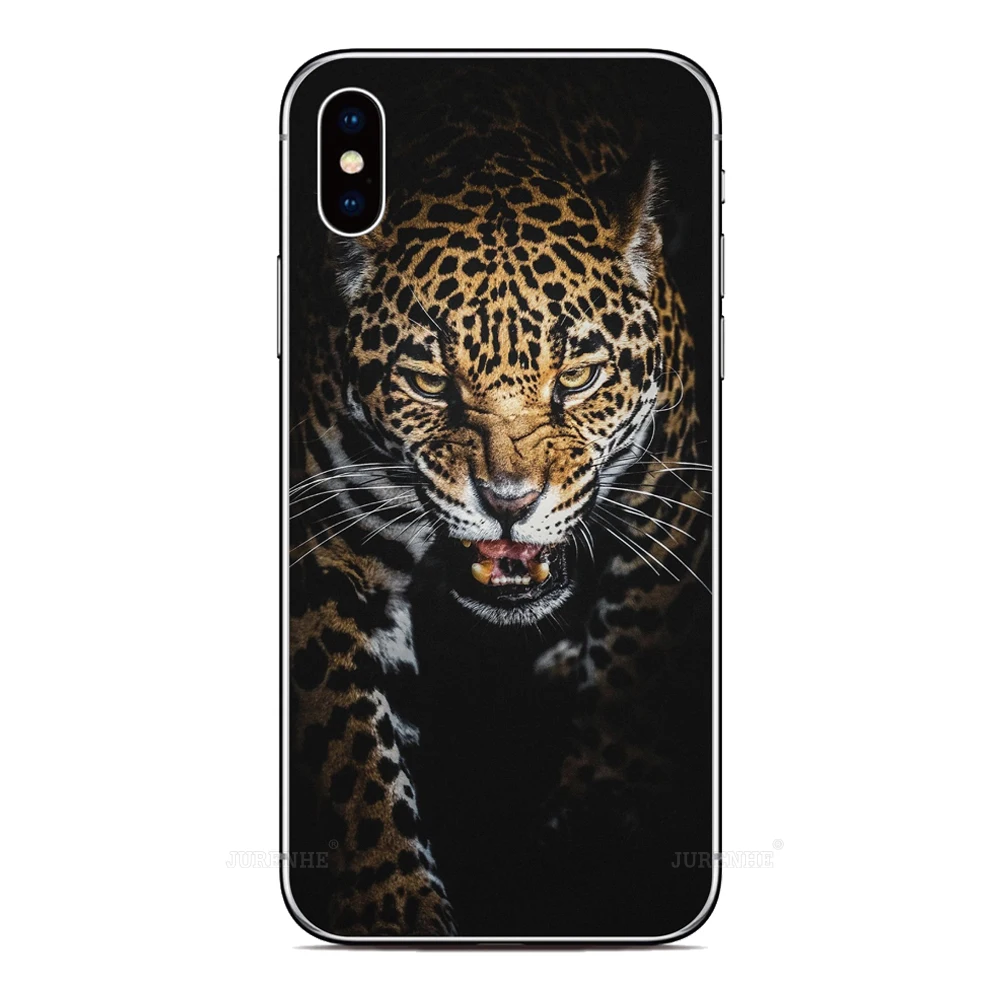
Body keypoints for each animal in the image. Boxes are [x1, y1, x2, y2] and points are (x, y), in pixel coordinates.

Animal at [287, 69, 712, 936]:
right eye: (427, 382)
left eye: (577, 377)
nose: (510, 501)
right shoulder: (325, 539)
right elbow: (349, 743)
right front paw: (393, 905)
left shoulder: (675, 482)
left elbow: (638, 648)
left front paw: (601, 813)